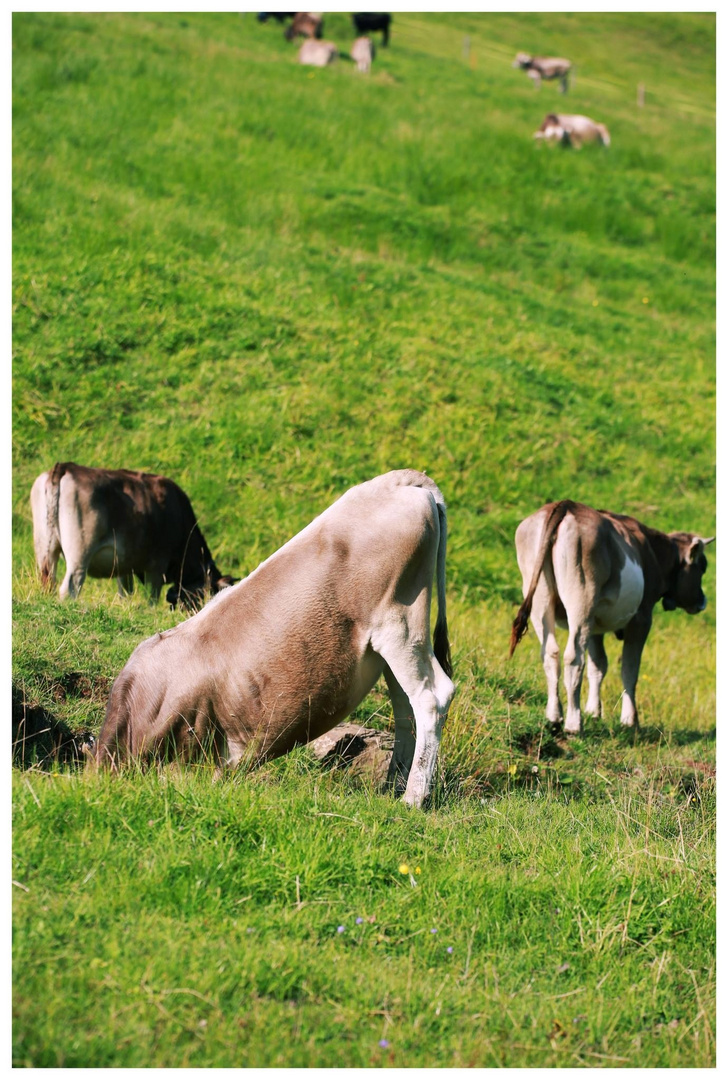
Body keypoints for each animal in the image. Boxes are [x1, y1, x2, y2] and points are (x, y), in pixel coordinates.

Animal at [31, 464, 232, 613]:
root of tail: (65, 467)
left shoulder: (123, 566)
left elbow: (125, 593)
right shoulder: (156, 566)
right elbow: (152, 598)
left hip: (45, 549)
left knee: (47, 581)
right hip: (79, 555)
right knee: (70, 587)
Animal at [93, 468, 451, 807]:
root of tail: (400, 480)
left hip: (399, 623)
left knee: (431, 697)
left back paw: (413, 798)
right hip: (392, 643)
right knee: (405, 708)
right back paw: (392, 786)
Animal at [507, 501, 712, 738]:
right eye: (703, 567)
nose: (702, 600)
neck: (653, 552)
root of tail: (566, 505)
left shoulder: (595, 626)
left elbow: (598, 666)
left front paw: (594, 711)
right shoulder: (642, 618)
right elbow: (630, 669)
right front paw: (630, 721)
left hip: (541, 599)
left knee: (550, 652)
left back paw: (554, 718)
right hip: (581, 597)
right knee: (574, 657)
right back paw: (573, 724)